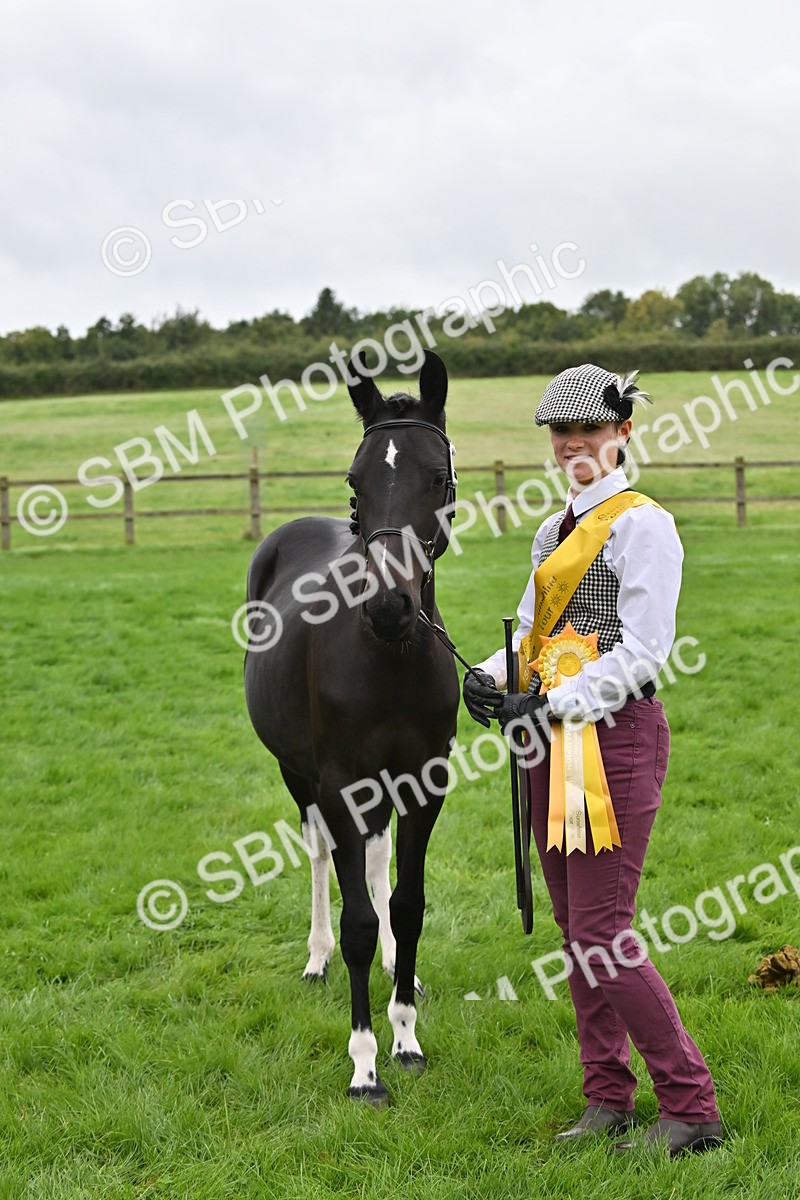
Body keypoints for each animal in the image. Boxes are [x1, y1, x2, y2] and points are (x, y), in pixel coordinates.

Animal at [243, 349, 460, 1103]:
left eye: (436, 477)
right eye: (355, 482)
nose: (391, 606)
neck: (390, 657)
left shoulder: (424, 785)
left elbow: (406, 903)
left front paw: (407, 1035)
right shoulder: (338, 784)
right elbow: (359, 919)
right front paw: (365, 1062)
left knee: (374, 857)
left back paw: (402, 971)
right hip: (299, 774)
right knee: (320, 856)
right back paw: (316, 959)